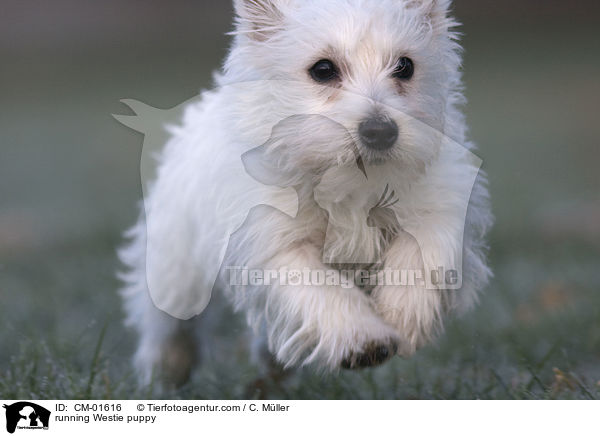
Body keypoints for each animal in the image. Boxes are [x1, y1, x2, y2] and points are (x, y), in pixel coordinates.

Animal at [118, 0, 492, 384]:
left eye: (405, 66)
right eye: (323, 69)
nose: (380, 131)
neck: (348, 184)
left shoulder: (440, 205)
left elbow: (422, 252)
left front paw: (403, 315)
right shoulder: (275, 243)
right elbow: (319, 287)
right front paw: (363, 341)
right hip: (174, 266)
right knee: (169, 319)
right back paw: (165, 368)